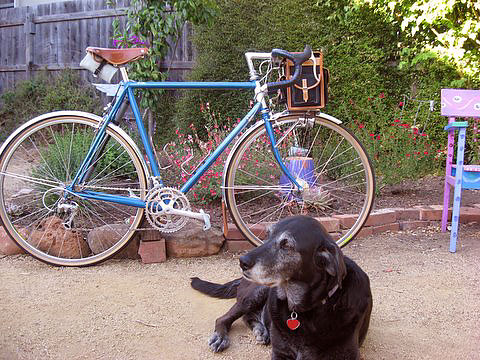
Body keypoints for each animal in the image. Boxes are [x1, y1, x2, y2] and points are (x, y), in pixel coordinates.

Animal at [190, 215, 372, 358]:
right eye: (267, 235)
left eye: (286, 245)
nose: (242, 262)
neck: (304, 310)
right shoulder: (280, 353)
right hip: (256, 293)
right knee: (225, 318)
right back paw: (222, 337)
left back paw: (261, 330)